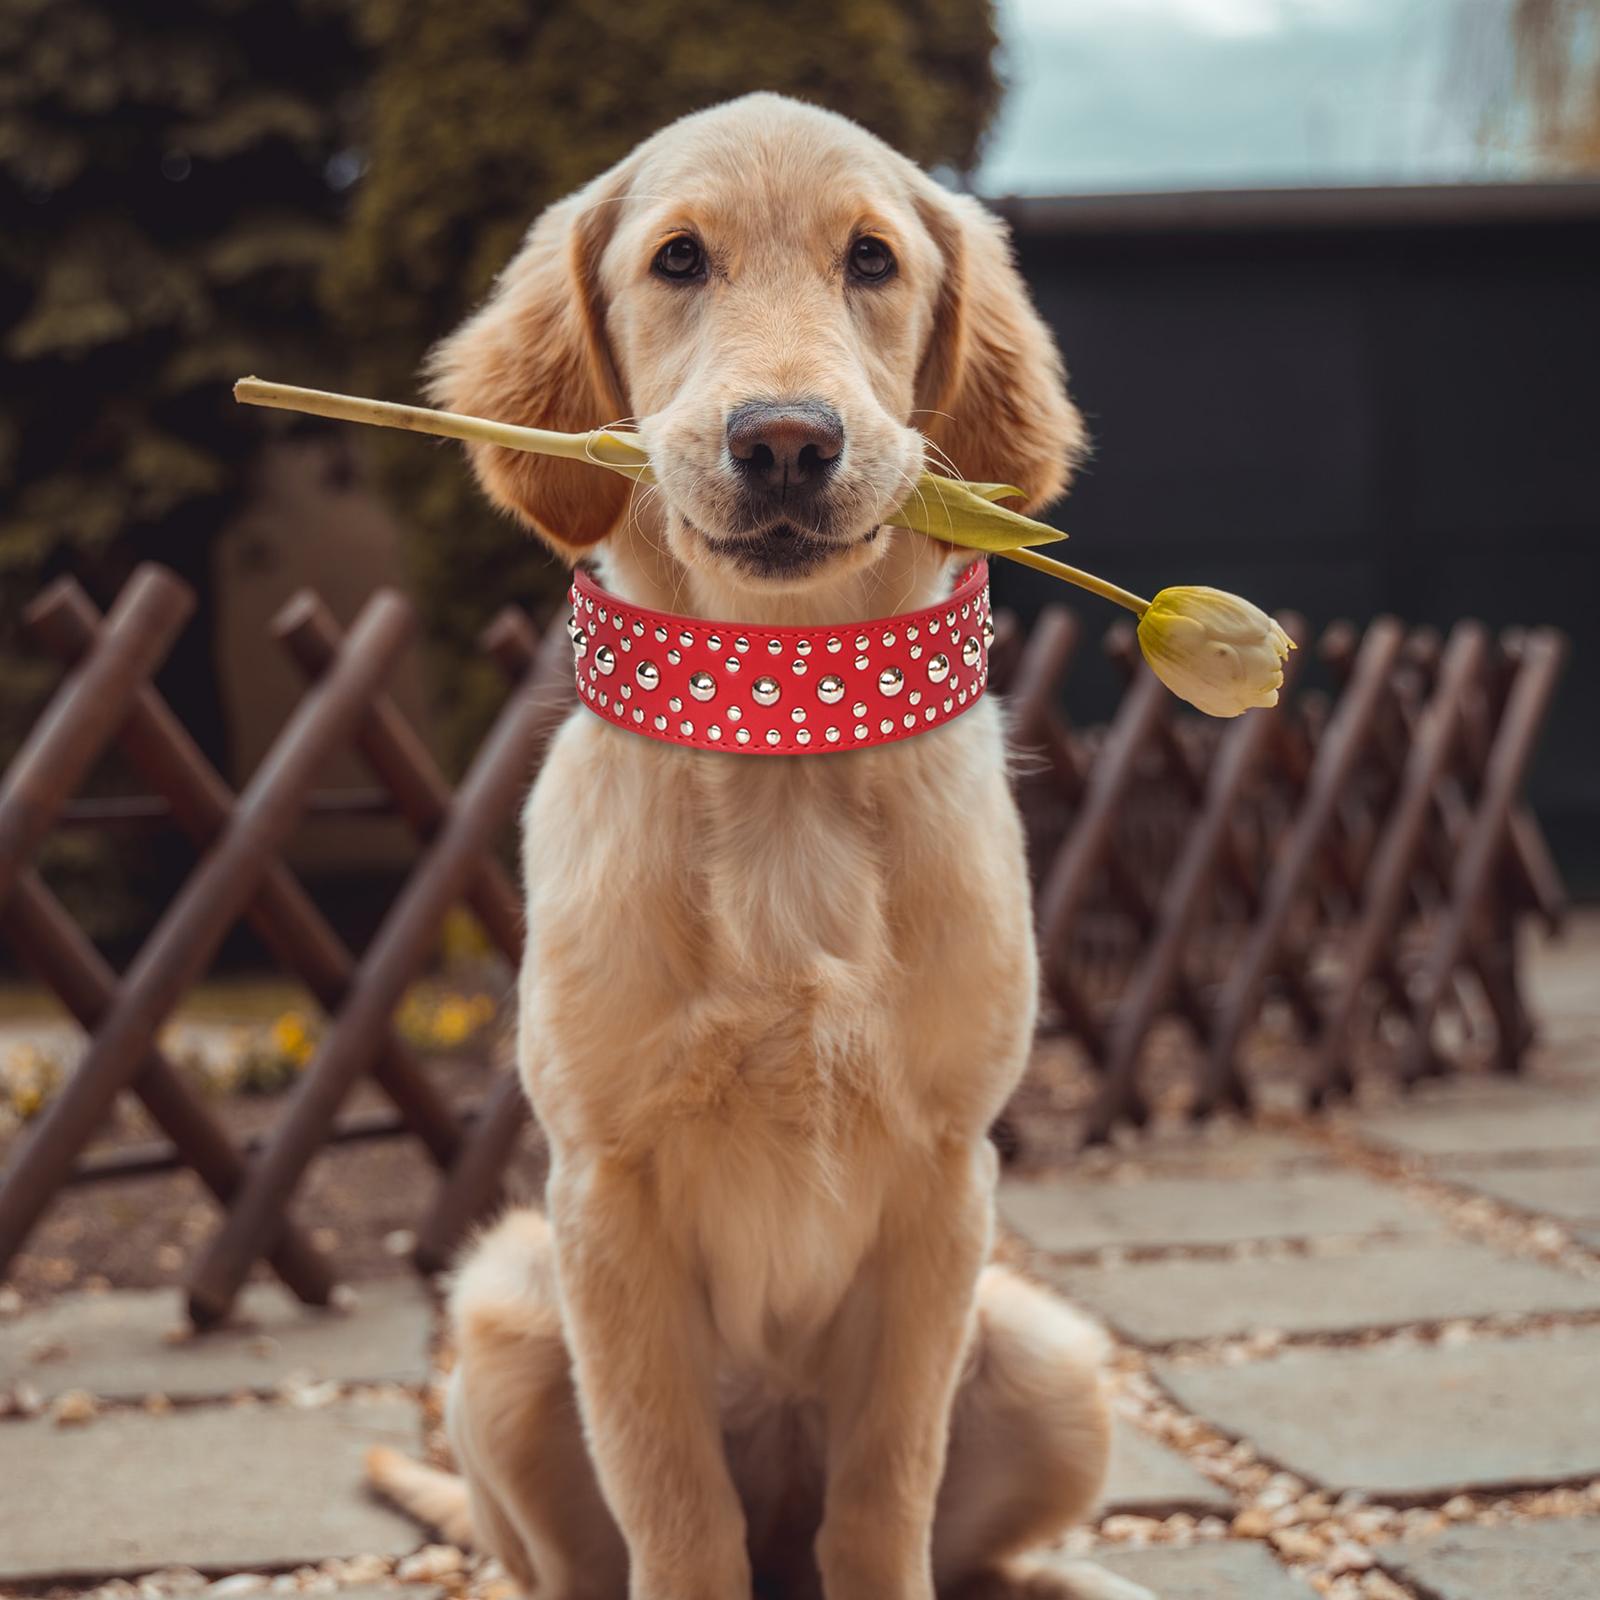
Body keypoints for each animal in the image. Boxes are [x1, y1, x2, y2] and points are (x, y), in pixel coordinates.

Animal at [369, 96, 1158, 1600]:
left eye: (872, 259)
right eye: (679, 259)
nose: (786, 441)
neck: (783, 728)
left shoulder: (945, 1180)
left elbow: (886, 1496)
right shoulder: (603, 1190)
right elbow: (677, 1509)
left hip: (1050, 1357)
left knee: (968, 1554)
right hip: (504, 1316)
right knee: (575, 1567)